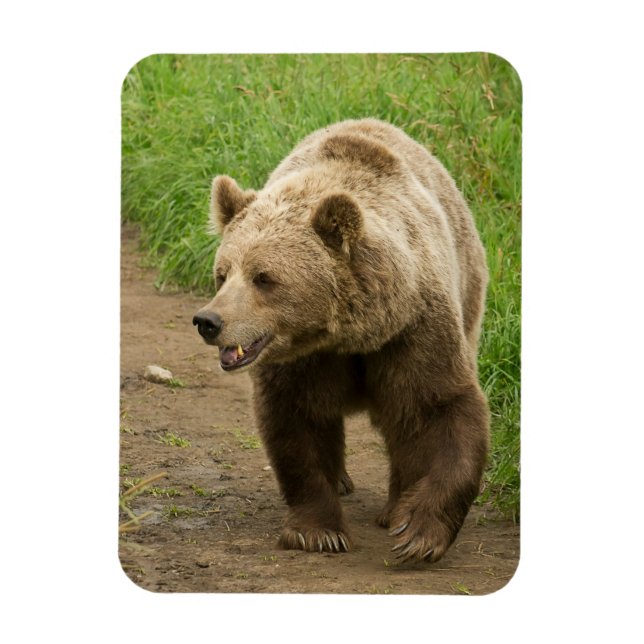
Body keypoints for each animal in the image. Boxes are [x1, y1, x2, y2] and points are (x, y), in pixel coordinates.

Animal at [193, 118, 490, 563]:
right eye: (222, 273)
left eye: (264, 277)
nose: (209, 321)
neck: (352, 334)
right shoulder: (302, 360)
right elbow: (295, 424)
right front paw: (319, 531)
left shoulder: (413, 331)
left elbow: (439, 407)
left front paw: (416, 532)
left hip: (469, 290)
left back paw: (392, 506)